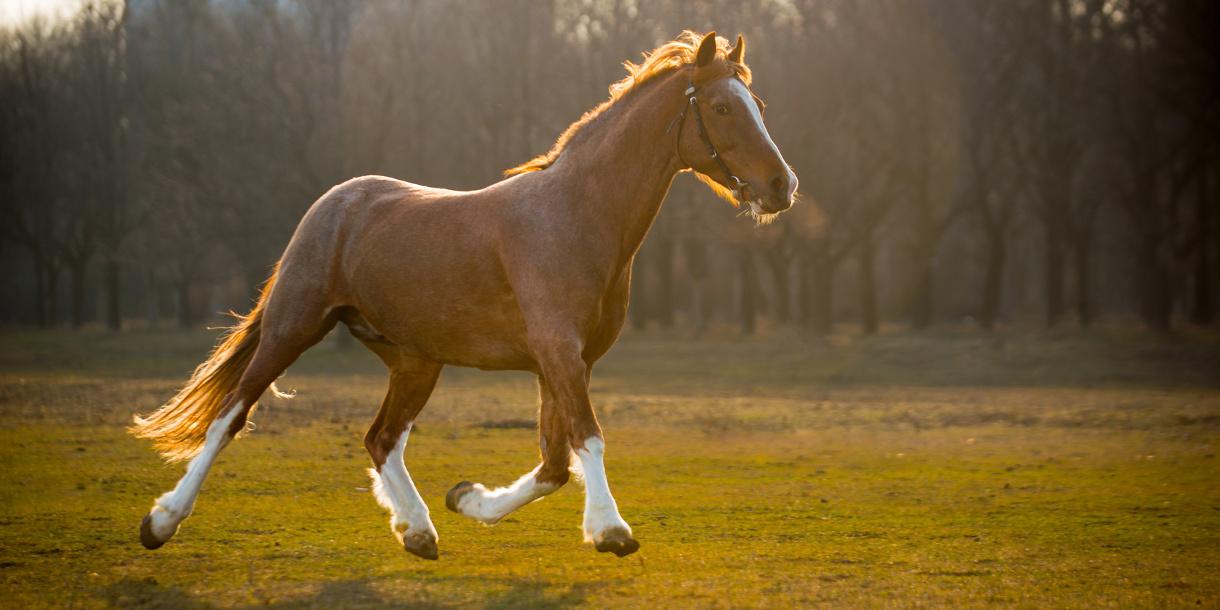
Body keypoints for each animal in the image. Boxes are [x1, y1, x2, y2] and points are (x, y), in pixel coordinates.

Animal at [136, 30, 800, 558]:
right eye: (722, 106)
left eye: (761, 105)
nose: (782, 186)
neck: (574, 219)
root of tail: (334, 203)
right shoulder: (559, 353)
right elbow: (587, 439)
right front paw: (611, 530)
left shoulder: (563, 363)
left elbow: (554, 465)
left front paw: (468, 499)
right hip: (293, 328)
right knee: (231, 415)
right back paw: (162, 521)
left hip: (415, 361)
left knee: (381, 438)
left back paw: (417, 530)